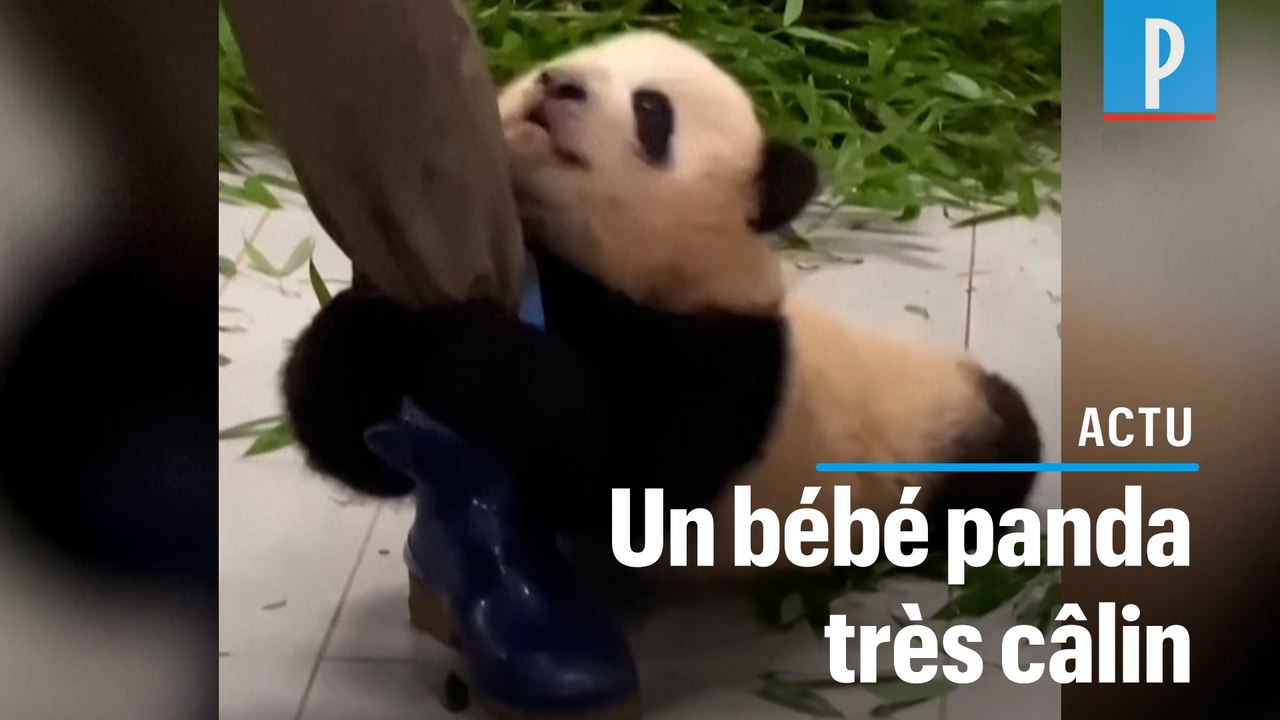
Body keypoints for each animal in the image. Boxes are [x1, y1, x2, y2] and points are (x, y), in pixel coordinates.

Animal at [282, 30, 1040, 577]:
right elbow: (366, 440)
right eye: (556, 65)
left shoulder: (722, 360)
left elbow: (614, 468)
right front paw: (373, 334)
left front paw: (470, 348)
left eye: (652, 110)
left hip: (947, 452)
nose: (559, 85)